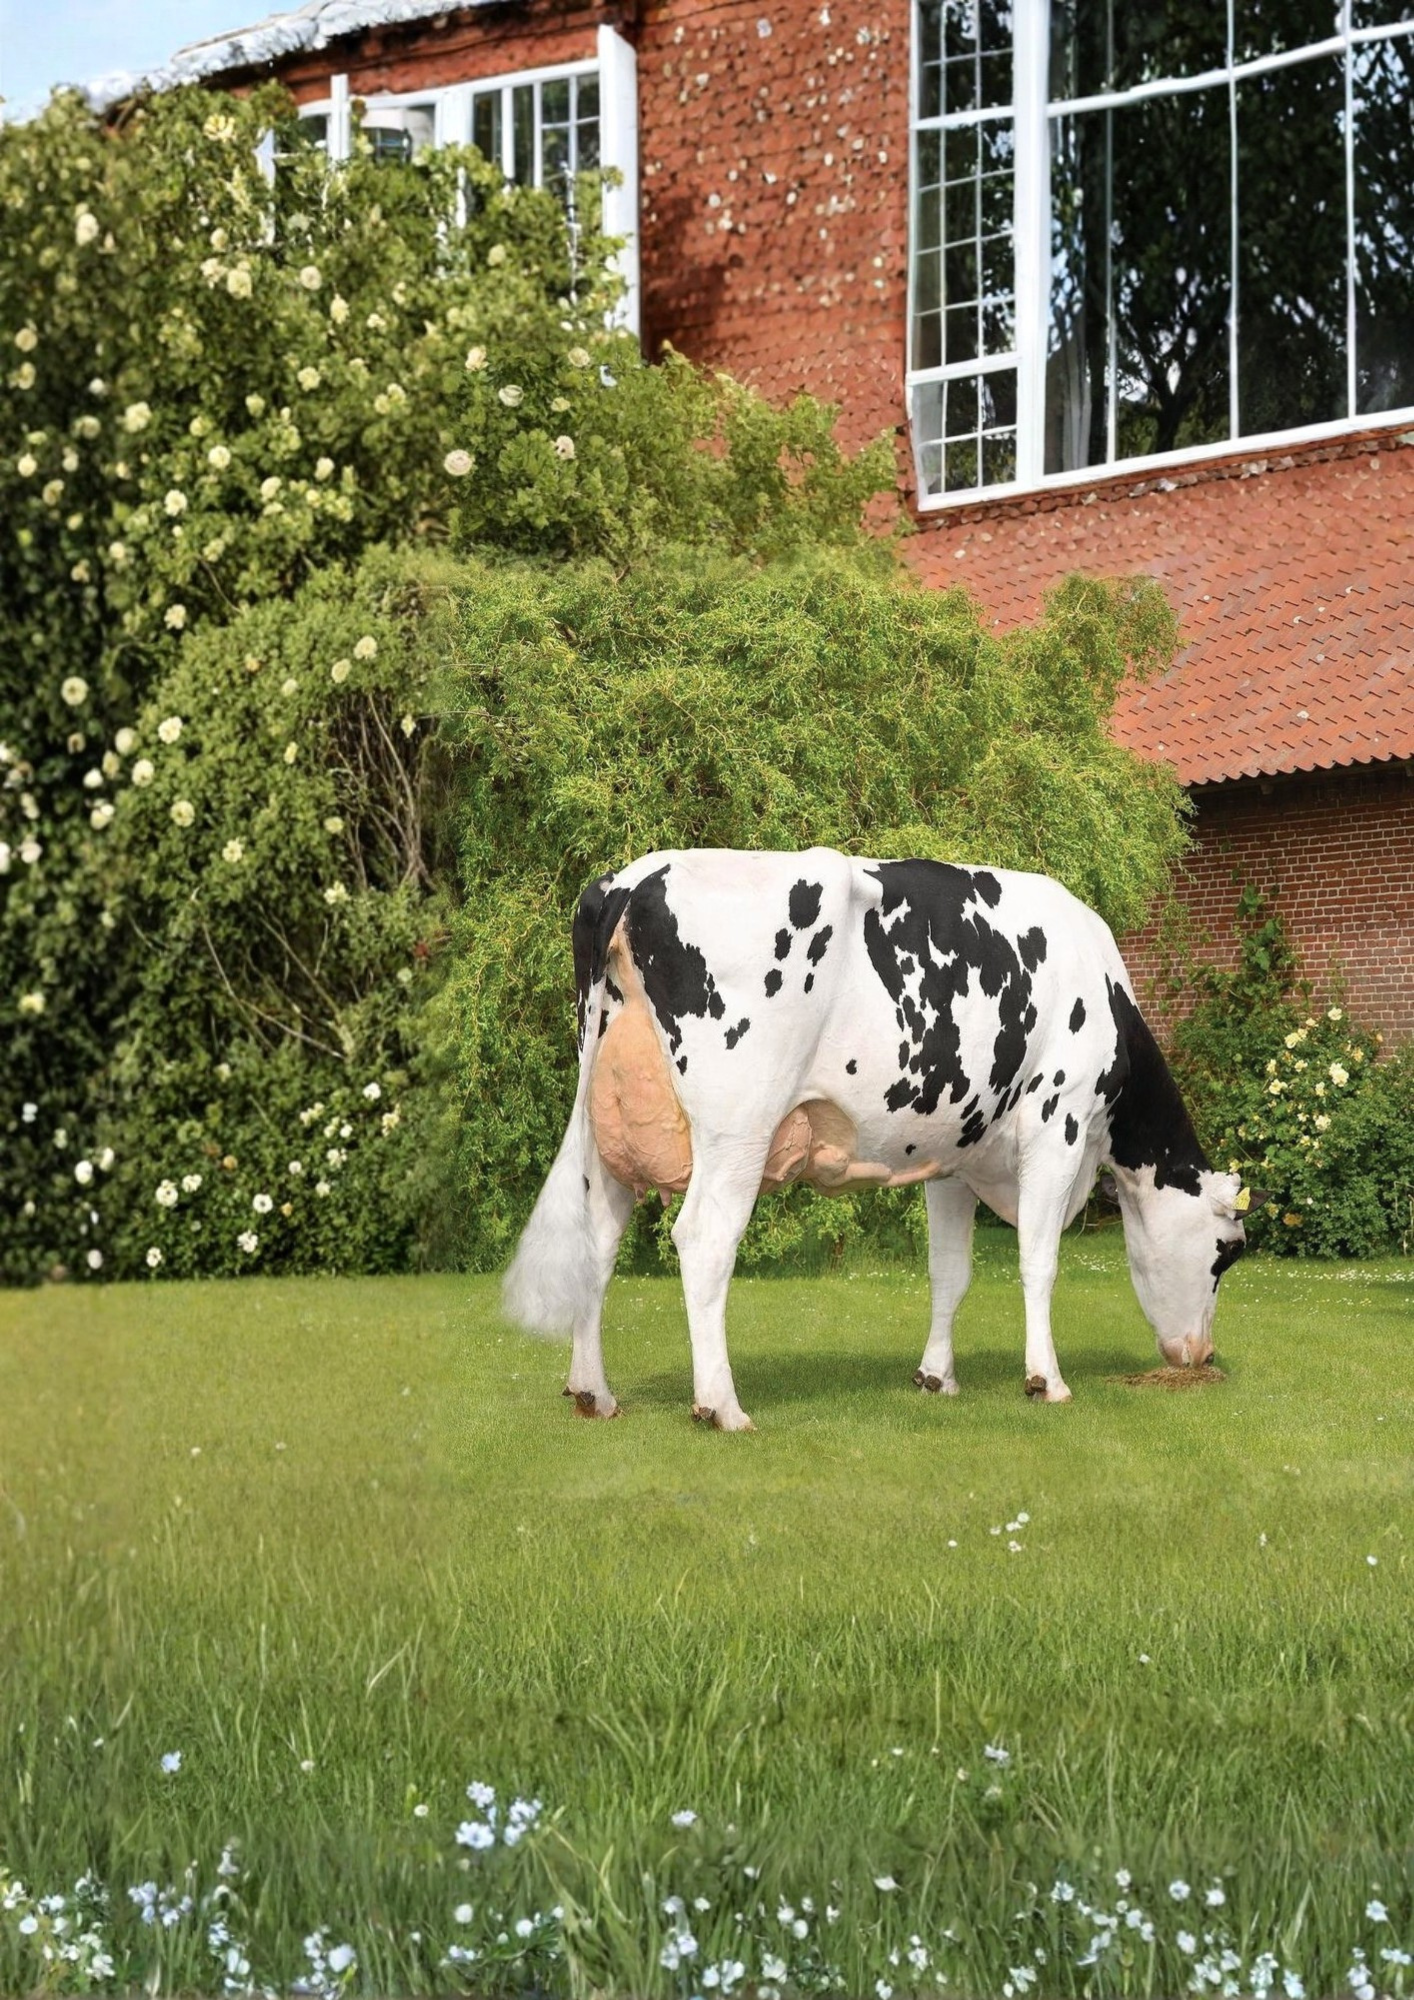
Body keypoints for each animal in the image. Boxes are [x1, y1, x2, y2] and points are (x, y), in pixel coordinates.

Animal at [504, 847, 1253, 1429]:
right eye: (1227, 1252)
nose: (1203, 1355)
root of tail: (632, 880)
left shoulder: (956, 1156)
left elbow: (950, 1272)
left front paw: (935, 1377)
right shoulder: (1057, 1123)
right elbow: (1039, 1262)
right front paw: (1047, 1380)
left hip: (606, 1131)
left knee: (597, 1244)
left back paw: (594, 1393)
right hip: (738, 1126)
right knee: (704, 1241)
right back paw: (722, 1406)